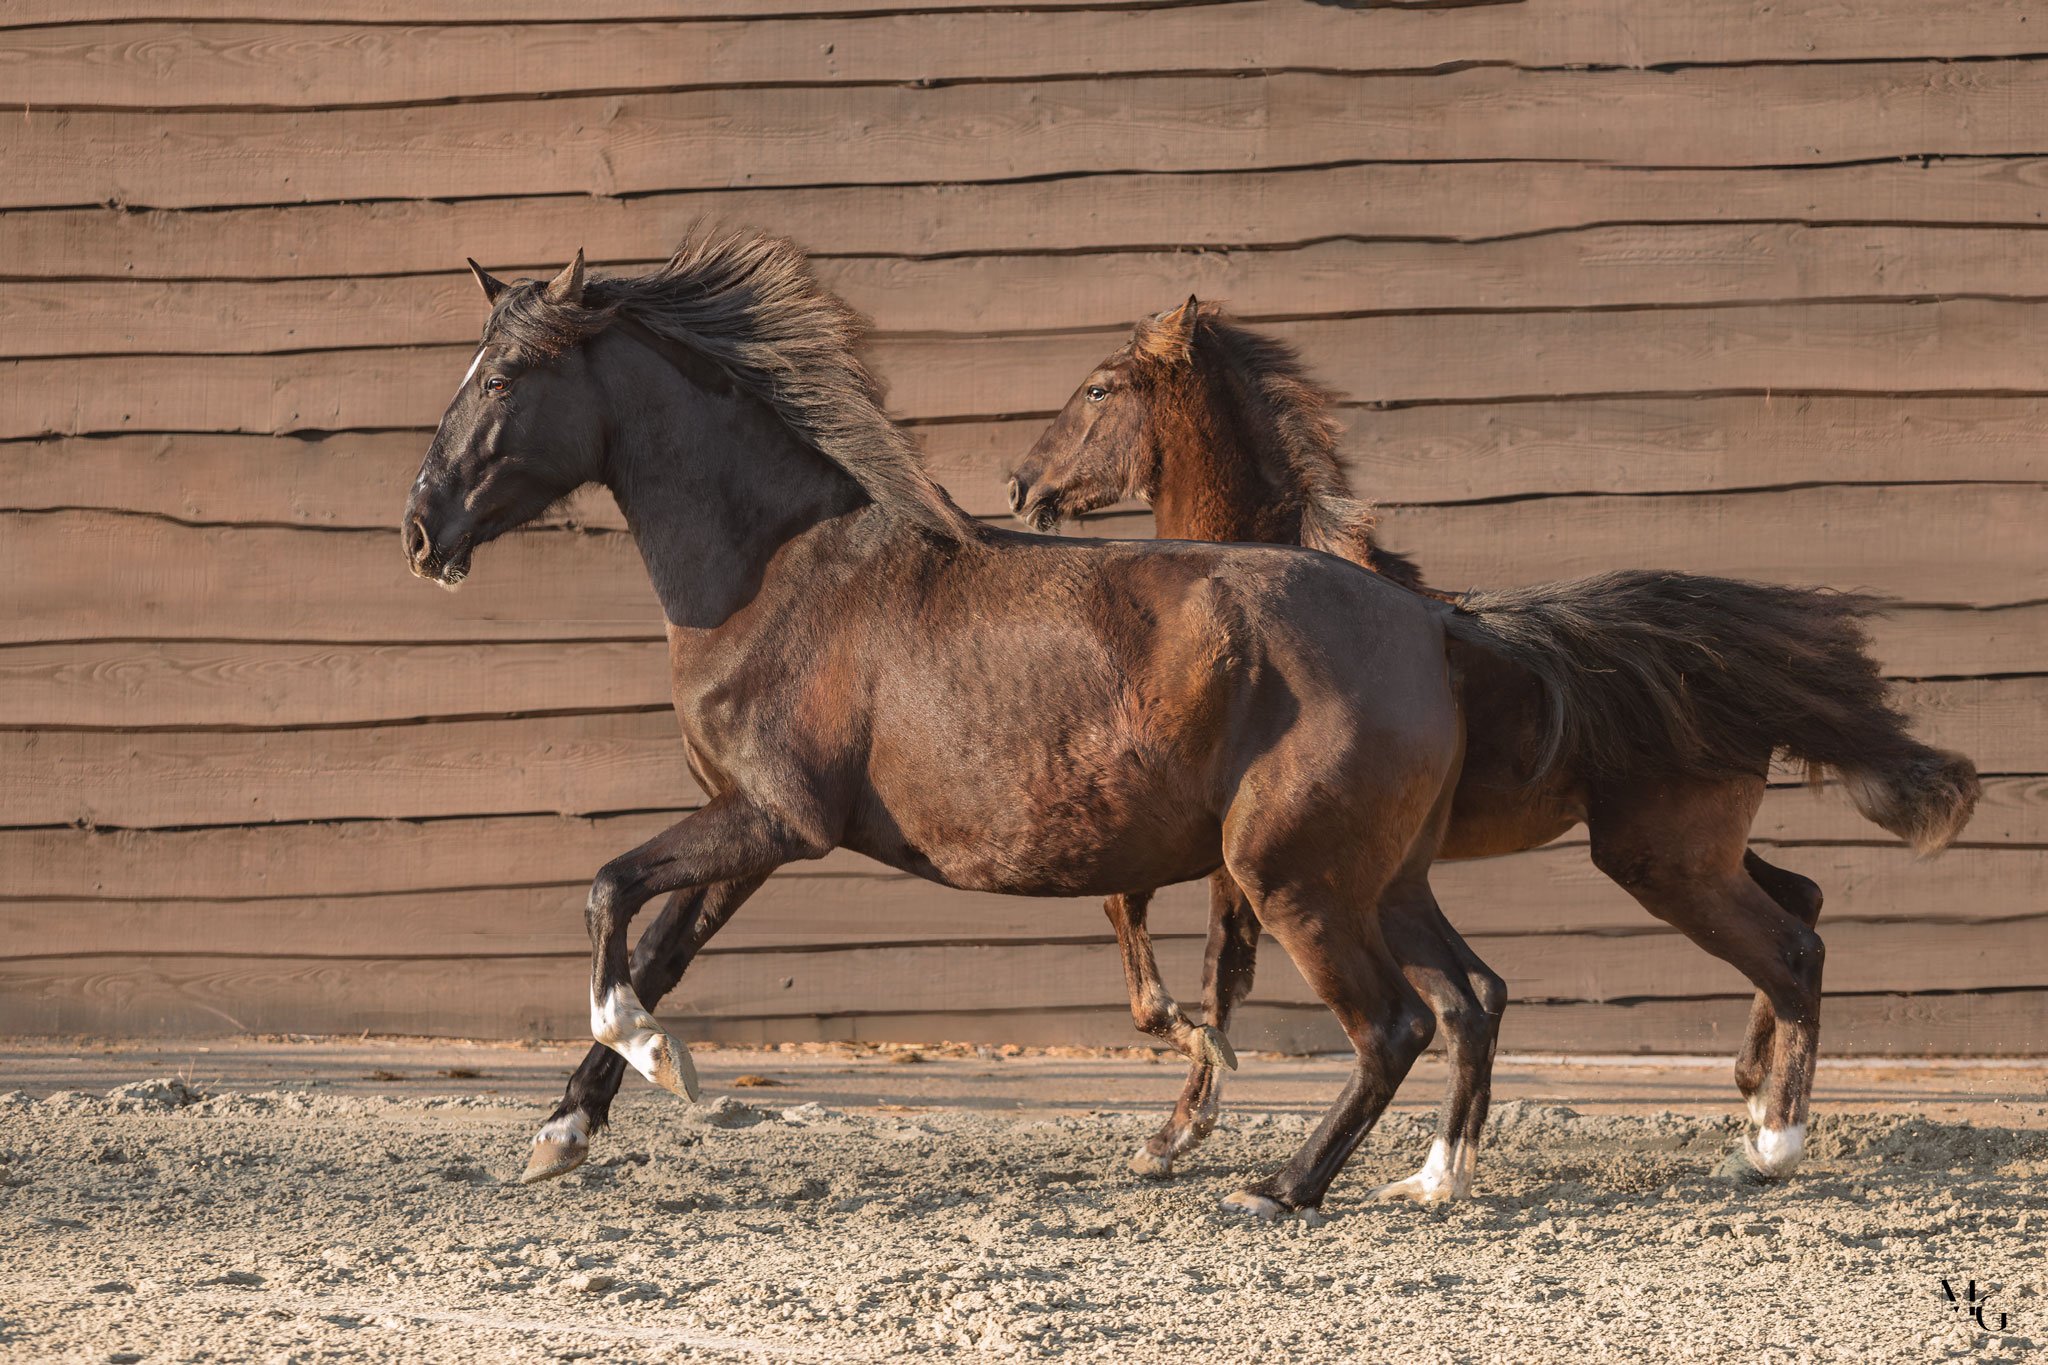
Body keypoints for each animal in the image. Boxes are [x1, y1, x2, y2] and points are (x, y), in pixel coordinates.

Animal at [401, 230, 1547, 1218]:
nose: (420, 530)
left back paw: (1280, 1187)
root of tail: (1426, 620)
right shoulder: (744, 829)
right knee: (1470, 995)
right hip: (1381, 880)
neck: (774, 572)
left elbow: (606, 897)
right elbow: (654, 953)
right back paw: (1433, 1177)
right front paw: (561, 1132)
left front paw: (657, 1061)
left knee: (1394, 1024)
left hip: (1292, 878)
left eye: (501, 379)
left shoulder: (774, 820)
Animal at [1005, 298, 1981, 1194]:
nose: (1019, 483)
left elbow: (1206, 969)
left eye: (1098, 387)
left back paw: (1775, 1139)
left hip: (1667, 860)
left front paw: (1176, 1130)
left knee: (1793, 947)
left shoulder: (1239, 849)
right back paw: (1747, 1094)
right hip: (1686, 849)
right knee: (1804, 901)